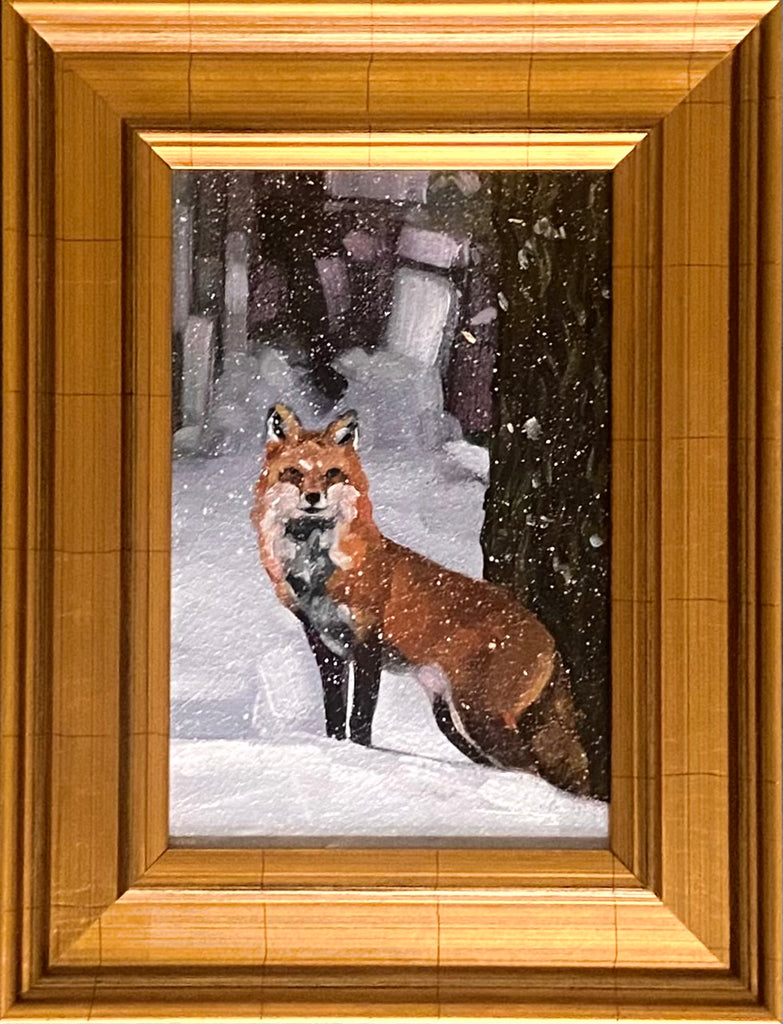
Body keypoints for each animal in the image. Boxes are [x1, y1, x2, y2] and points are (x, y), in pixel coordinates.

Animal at [250, 403, 591, 797]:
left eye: (332, 474)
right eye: (294, 473)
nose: (312, 498)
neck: (319, 572)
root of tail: (550, 639)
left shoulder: (367, 644)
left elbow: (361, 719)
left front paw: (362, 759)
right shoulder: (326, 647)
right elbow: (335, 717)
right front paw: (335, 751)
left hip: (479, 717)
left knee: (532, 769)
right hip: (451, 720)